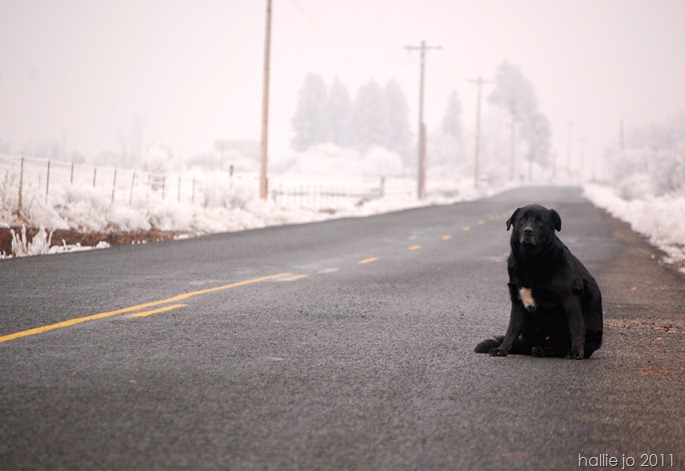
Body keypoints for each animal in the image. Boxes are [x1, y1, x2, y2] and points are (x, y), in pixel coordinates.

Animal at [475, 204, 603, 359]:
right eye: (522, 219)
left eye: (541, 221)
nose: (528, 231)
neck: (530, 262)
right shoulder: (518, 302)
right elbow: (511, 329)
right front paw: (502, 349)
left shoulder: (570, 299)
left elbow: (576, 328)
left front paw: (576, 352)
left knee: (563, 346)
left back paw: (547, 350)